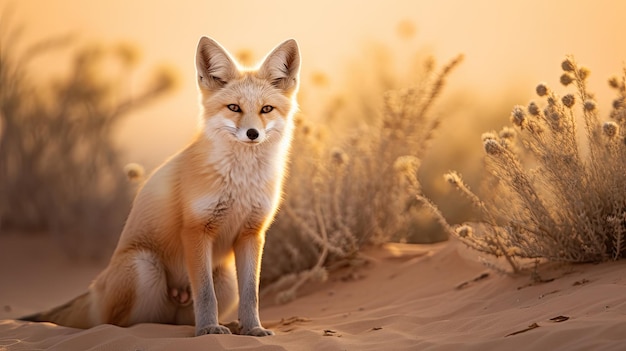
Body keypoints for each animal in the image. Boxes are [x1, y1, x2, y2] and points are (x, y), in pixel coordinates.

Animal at [20, 36, 298, 338]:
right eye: (234, 108)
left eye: (266, 109)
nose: (252, 134)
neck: (241, 182)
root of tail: (95, 289)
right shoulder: (196, 229)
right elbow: (205, 294)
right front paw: (208, 329)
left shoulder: (251, 234)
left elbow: (251, 295)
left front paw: (253, 328)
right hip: (145, 268)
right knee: (120, 323)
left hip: (224, 280)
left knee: (176, 322)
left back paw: (230, 324)